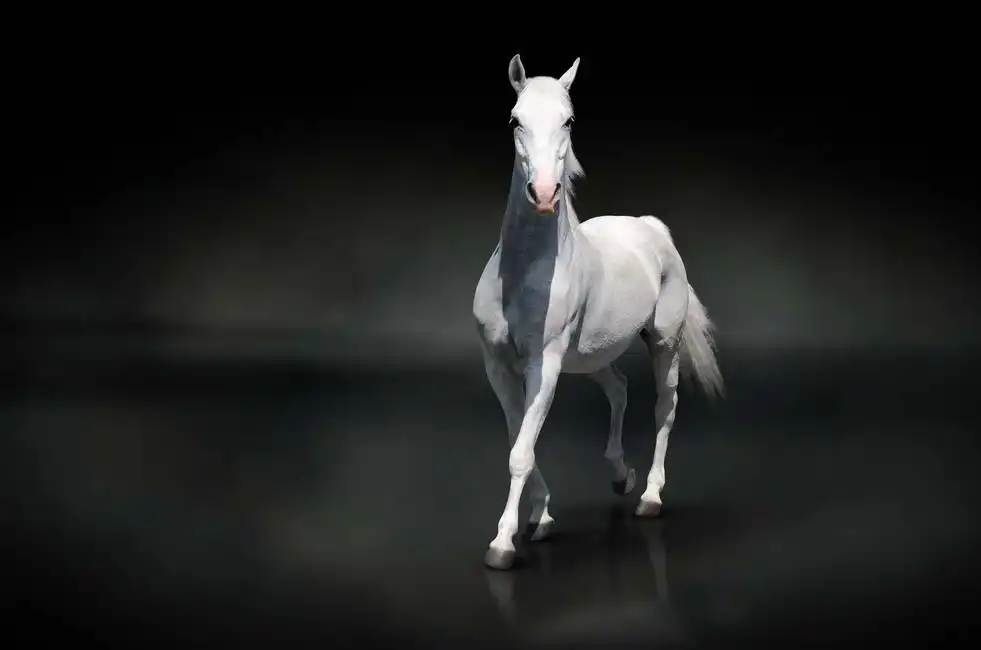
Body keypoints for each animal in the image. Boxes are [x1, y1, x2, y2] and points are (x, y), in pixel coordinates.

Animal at [472, 55, 724, 570]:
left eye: (568, 121)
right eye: (514, 119)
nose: (543, 193)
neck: (523, 273)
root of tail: (651, 229)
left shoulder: (544, 366)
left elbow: (521, 452)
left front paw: (503, 544)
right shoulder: (499, 366)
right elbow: (520, 440)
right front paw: (542, 518)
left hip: (663, 344)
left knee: (664, 406)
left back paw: (649, 496)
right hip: (588, 358)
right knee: (619, 388)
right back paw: (620, 476)